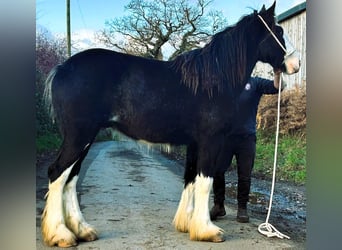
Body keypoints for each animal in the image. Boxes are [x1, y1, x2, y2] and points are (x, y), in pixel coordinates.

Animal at [42, 1, 300, 247]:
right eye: (278, 31)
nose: (296, 64)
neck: (213, 80)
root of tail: (61, 68)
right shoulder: (210, 140)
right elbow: (204, 181)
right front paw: (207, 230)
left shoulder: (194, 144)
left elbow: (190, 179)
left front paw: (187, 224)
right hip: (80, 136)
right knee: (58, 173)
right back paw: (60, 235)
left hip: (86, 138)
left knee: (71, 178)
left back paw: (82, 230)